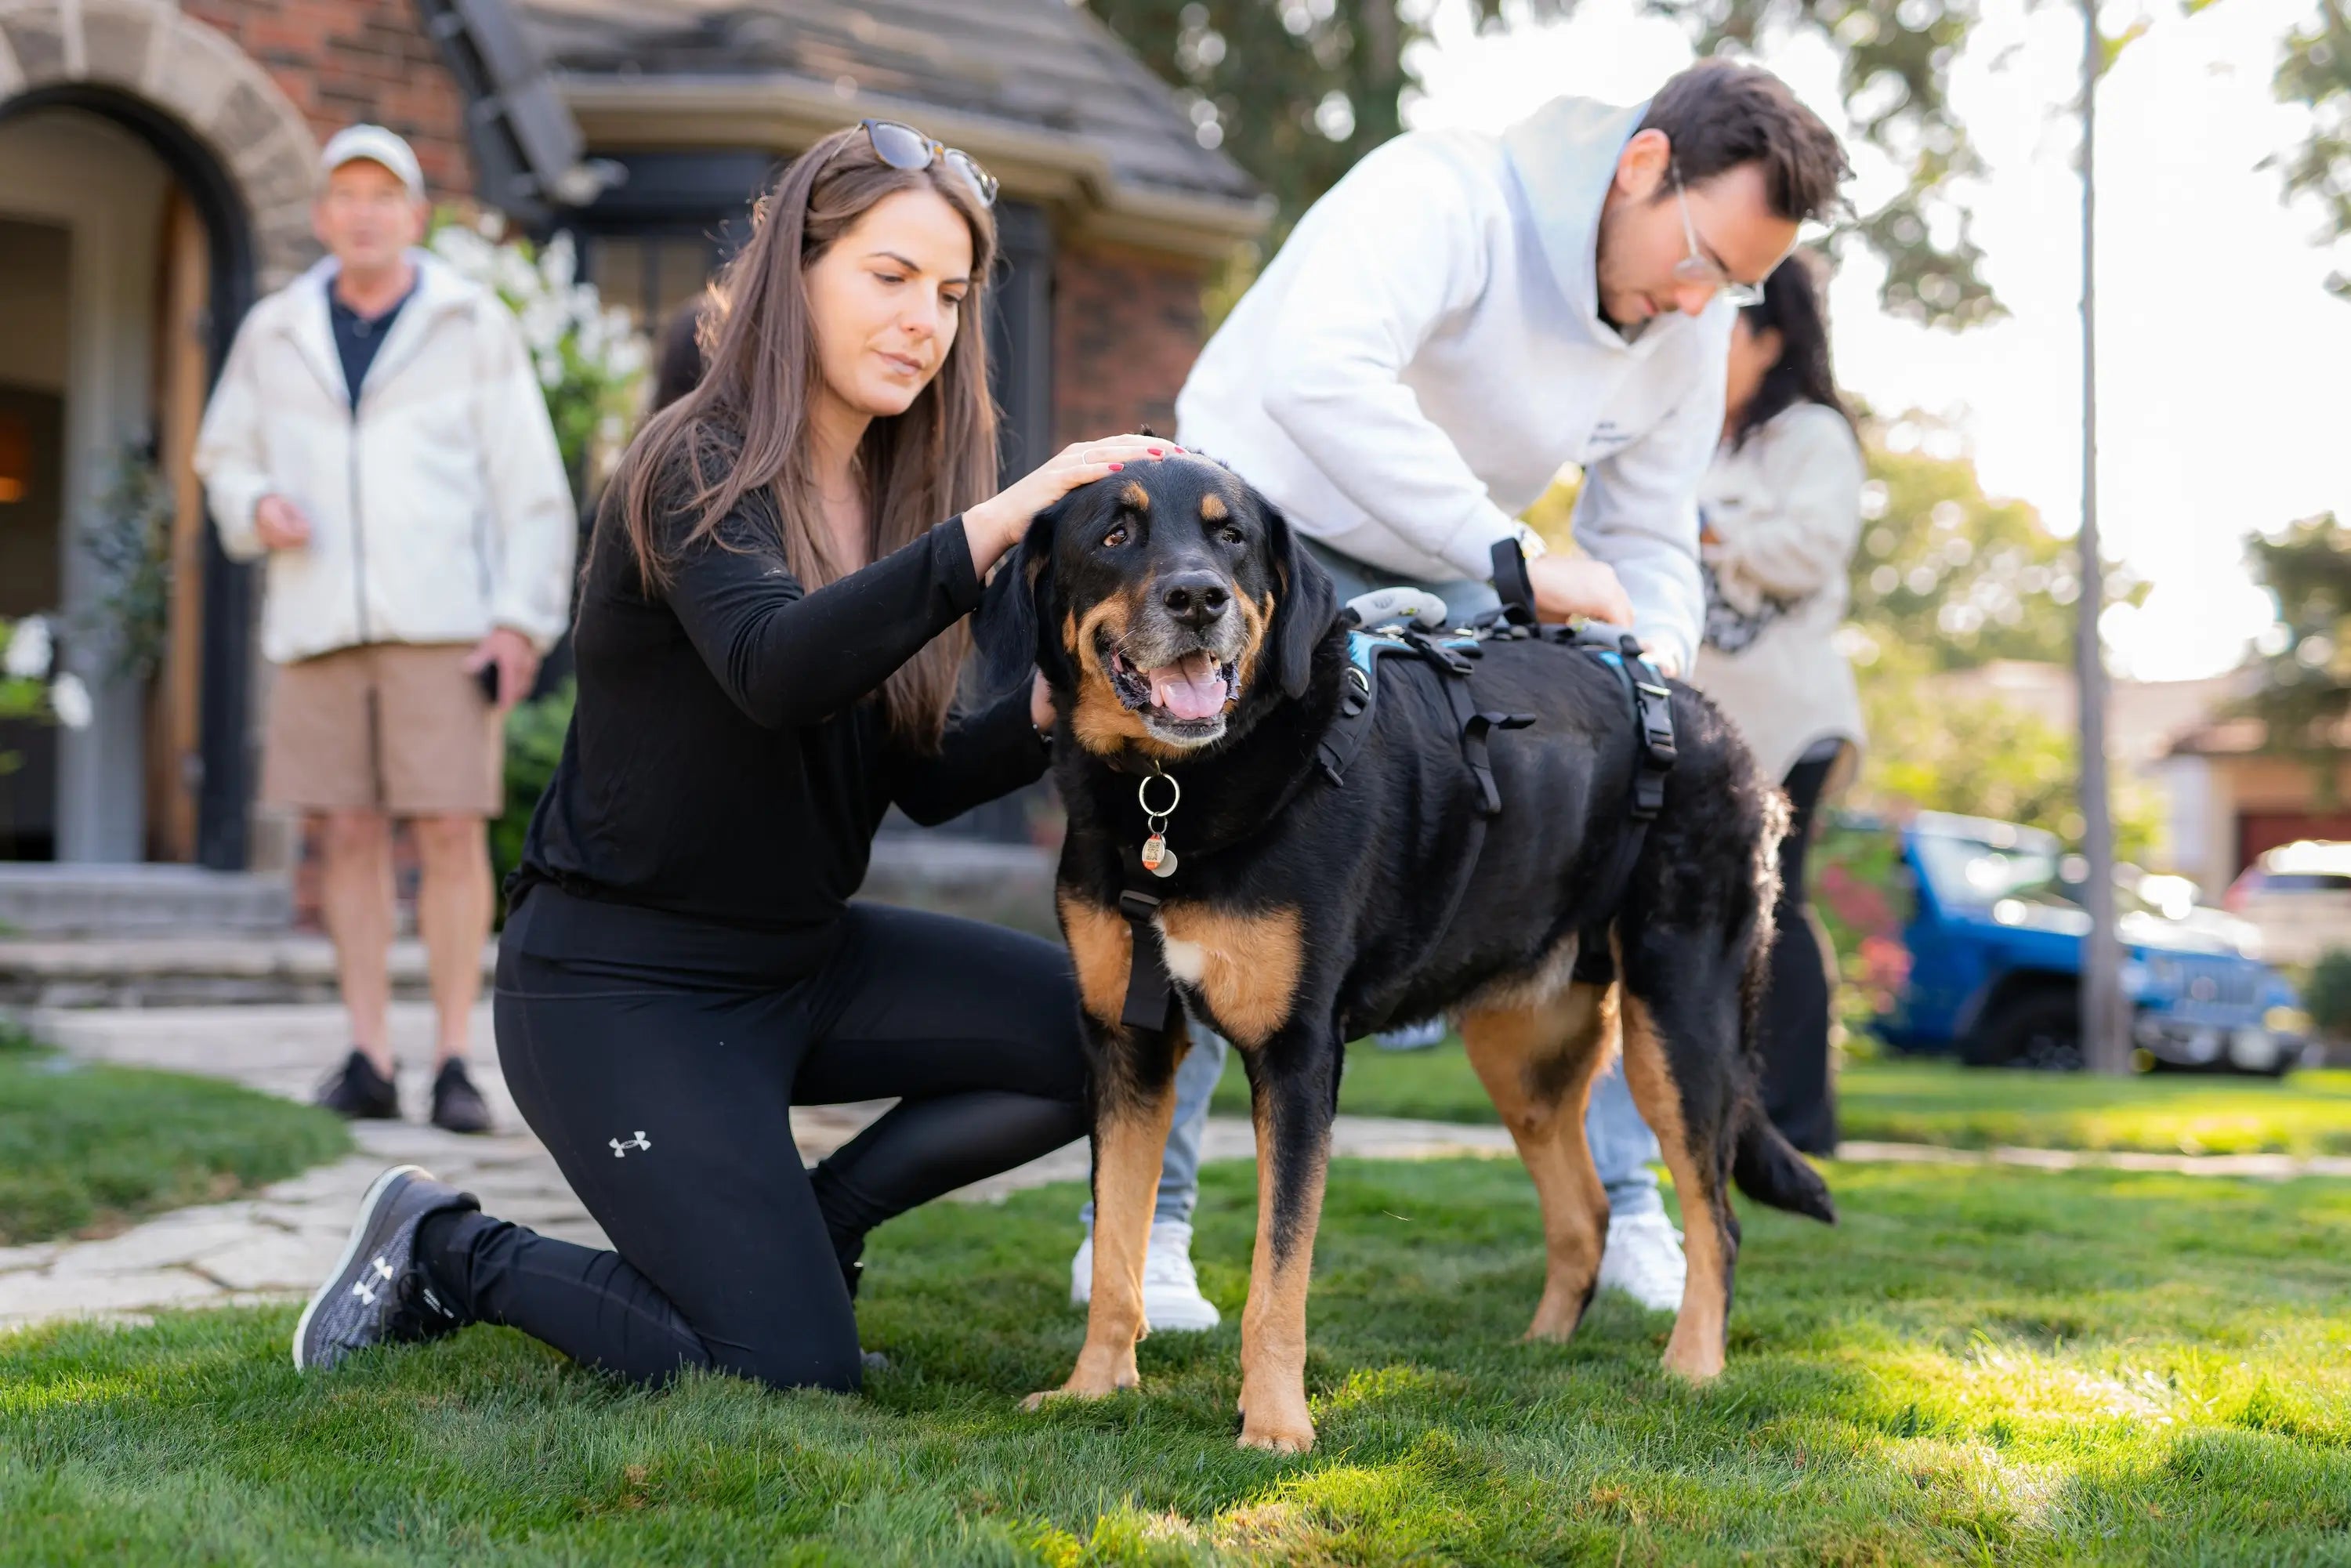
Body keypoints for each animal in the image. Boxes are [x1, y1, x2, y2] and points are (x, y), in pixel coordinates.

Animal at [978, 456, 1834, 1458]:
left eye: (1232, 538)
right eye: (1114, 533)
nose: (1198, 597)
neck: (1168, 795)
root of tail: (1703, 717)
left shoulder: (1300, 1054)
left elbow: (1278, 1277)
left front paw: (1275, 1425)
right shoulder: (1127, 1041)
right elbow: (1118, 1247)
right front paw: (1092, 1390)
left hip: (1678, 1021)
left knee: (1716, 1220)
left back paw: (1691, 1369)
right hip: (1523, 1053)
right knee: (1582, 1215)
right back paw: (1540, 1351)